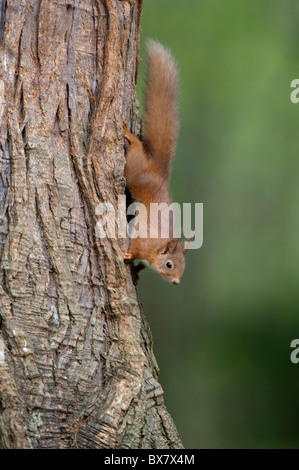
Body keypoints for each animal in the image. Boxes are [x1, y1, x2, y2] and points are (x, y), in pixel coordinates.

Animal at [122, 40, 188, 284]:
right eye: (169, 264)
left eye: (183, 267)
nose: (176, 282)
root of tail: (159, 171)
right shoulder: (144, 240)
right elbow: (135, 248)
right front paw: (127, 255)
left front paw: (137, 271)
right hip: (134, 170)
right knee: (135, 149)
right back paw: (129, 135)